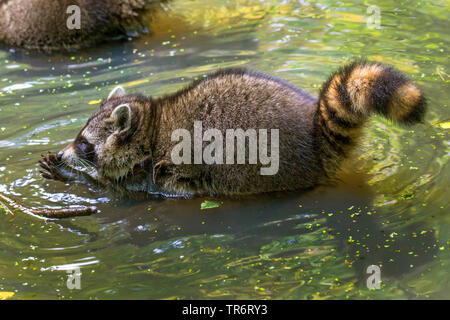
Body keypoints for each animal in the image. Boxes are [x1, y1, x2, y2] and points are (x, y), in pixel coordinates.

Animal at [40, 61, 428, 196]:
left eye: (83, 143)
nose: (63, 152)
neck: (152, 123)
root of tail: (314, 136)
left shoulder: (155, 172)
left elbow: (123, 189)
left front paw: (73, 175)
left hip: (265, 163)